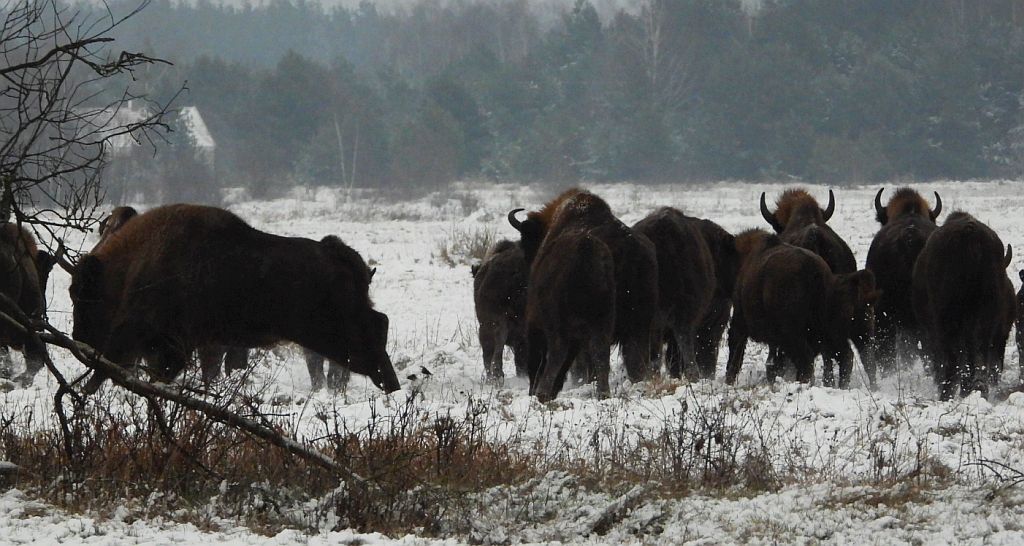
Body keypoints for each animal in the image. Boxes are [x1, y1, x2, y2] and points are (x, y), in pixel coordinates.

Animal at [70, 204, 400, 394]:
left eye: (81, 295)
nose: (79, 339)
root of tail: (339, 255)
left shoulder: (148, 339)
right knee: (377, 326)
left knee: (372, 334)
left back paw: (388, 384)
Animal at [912, 212, 1013, 400]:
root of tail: (970, 234)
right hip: (985, 312)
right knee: (978, 350)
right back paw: (978, 388)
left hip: (948, 319)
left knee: (955, 356)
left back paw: (948, 393)